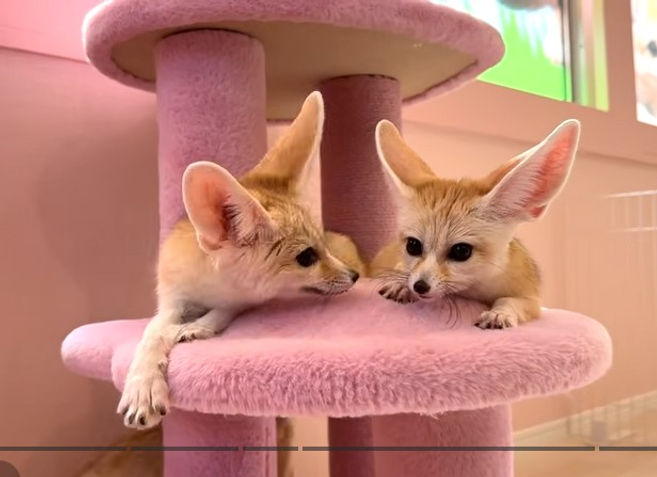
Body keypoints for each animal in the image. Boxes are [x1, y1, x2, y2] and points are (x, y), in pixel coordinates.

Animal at [118, 91, 360, 431]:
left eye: (321, 245)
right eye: (307, 257)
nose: (354, 276)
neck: (207, 289)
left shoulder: (243, 300)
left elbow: (221, 311)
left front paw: (198, 327)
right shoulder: (172, 299)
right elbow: (152, 333)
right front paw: (142, 384)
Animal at [371, 119, 580, 329]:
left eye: (461, 251)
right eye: (413, 245)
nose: (420, 286)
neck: (474, 290)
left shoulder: (532, 298)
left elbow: (509, 301)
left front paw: (499, 314)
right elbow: (401, 270)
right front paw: (400, 285)